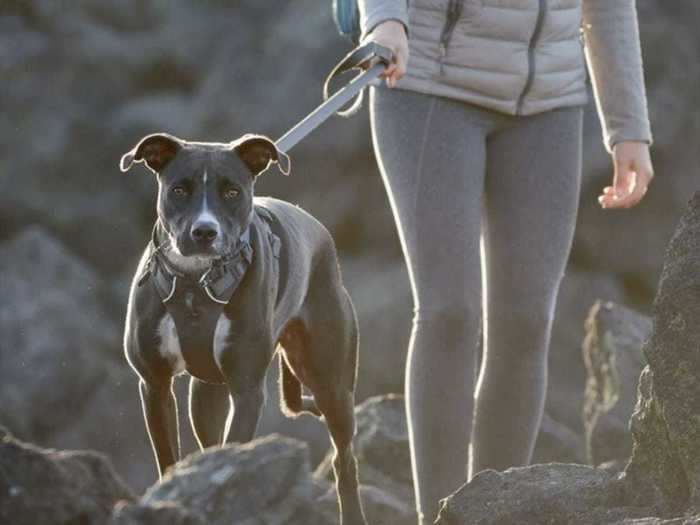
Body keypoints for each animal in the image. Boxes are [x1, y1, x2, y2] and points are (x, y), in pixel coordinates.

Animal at [119, 133, 372, 520]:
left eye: (232, 192)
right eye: (179, 190)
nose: (204, 231)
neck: (195, 283)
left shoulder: (247, 389)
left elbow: (236, 446)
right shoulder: (154, 384)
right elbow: (169, 457)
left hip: (332, 385)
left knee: (345, 462)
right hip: (206, 392)